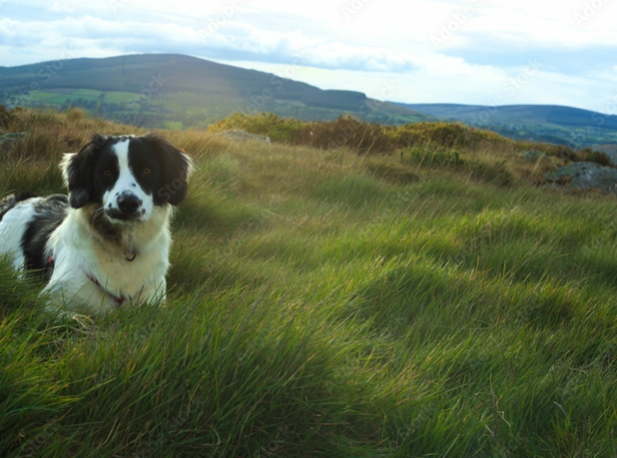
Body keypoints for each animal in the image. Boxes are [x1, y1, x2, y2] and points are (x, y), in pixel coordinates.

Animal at [0, 133, 191, 314]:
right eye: (106, 172)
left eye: (147, 170)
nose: (128, 203)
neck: (122, 249)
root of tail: (21, 199)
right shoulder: (48, 302)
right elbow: (79, 318)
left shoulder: (154, 303)